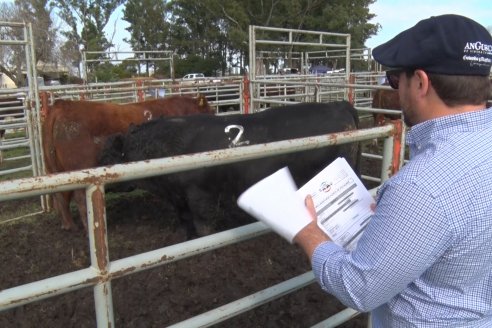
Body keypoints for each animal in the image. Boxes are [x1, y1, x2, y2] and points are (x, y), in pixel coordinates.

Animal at [42, 93, 211, 232]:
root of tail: (62, 105)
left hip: (55, 172)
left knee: (60, 197)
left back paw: (68, 225)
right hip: (81, 172)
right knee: (80, 198)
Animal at [100, 101, 362, 237]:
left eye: (106, 156)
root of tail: (338, 104)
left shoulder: (200, 194)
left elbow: (203, 224)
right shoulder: (178, 197)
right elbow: (185, 221)